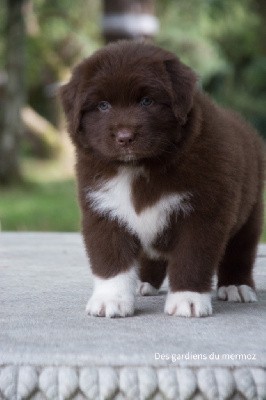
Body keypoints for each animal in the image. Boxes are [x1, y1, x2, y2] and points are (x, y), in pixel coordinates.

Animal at [60, 39, 264, 316]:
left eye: (147, 101)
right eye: (102, 106)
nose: (124, 137)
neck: (139, 168)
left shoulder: (203, 214)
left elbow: (192, 259)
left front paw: (188, 299)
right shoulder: (103, 209)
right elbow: (111, 260)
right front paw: (110, 299)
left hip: (249, 213)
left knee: (240, 251)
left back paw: (237, 286)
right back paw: (144, 283)